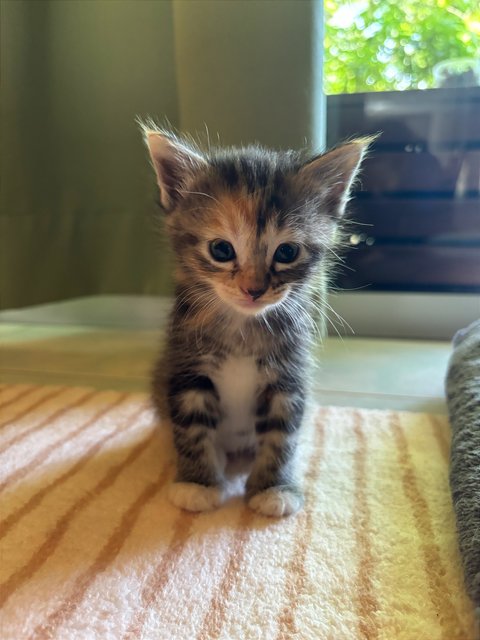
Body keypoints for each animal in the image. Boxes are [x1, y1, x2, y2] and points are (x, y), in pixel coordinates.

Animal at [141, 126, 370, 520]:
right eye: (221, 250)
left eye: (287, 252)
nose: (253, 289)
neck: (242, 329)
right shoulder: (186, 367)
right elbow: (191, 429)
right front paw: (197, 483)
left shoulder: (289, 377)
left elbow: (282, 435)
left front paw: (274, 487)